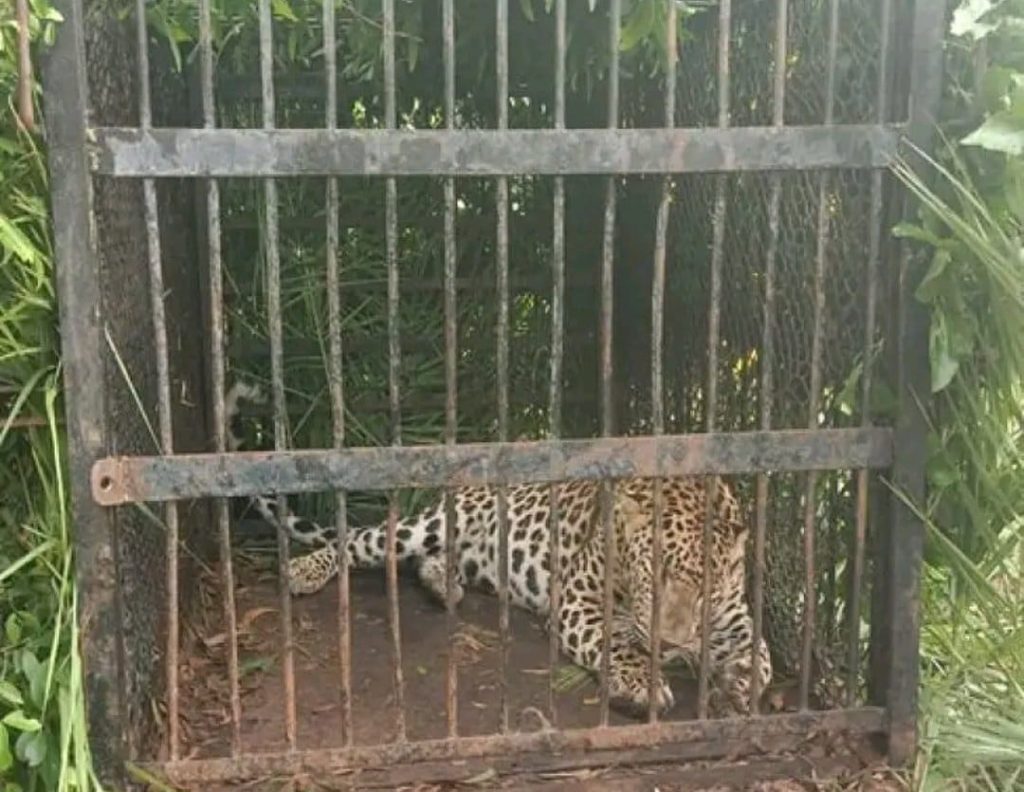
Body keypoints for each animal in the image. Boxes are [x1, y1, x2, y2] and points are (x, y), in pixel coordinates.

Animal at [226, 383, 772, 717]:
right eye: (650, 574)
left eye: (706, 590)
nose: (670, 644)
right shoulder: (578, 602)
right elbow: (617, 643)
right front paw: (641, 683)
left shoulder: (734, 617)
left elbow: (761, 657)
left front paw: (736, 690)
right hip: (434, 522)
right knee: (360, 541)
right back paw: (305, 570)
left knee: (428, 562)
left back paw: (444, 588)